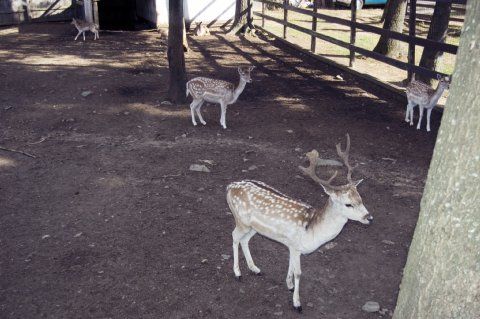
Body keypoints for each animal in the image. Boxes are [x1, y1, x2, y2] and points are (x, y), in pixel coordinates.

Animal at [227, 134, 374, 312]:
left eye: (360, 198)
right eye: (348, 204)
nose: (369, 217)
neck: (312, 231)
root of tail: (229, 187)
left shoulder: (291, 245)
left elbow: (290, 265)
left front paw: (289, 285)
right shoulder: (296, 246)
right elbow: (298, 273)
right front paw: (297, 303)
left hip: (252, 227)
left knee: (245, 240)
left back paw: (255, 269)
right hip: (240, 219)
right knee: (234, 236)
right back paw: (237, 273)